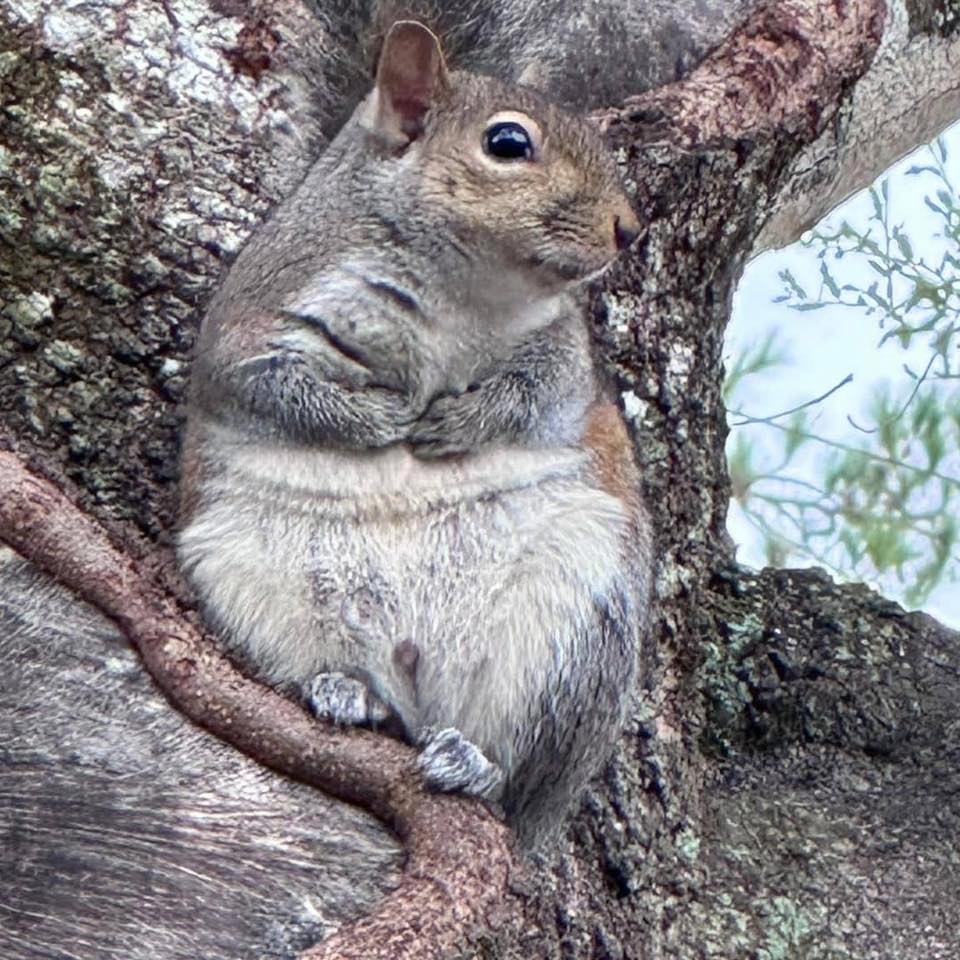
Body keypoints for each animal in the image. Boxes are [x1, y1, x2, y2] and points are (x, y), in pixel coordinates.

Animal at [178, 18, 651, 848]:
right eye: (507, 143)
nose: (627, 229)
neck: (461, 287)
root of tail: (414, 670)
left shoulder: (564, 357)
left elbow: (535, 397)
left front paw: (452, 421)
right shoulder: (256, 322)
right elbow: (274, 387)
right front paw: (383, 419)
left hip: (575, 626)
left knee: (517, 775)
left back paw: (474, 764)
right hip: (244, 579)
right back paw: (340, 690)